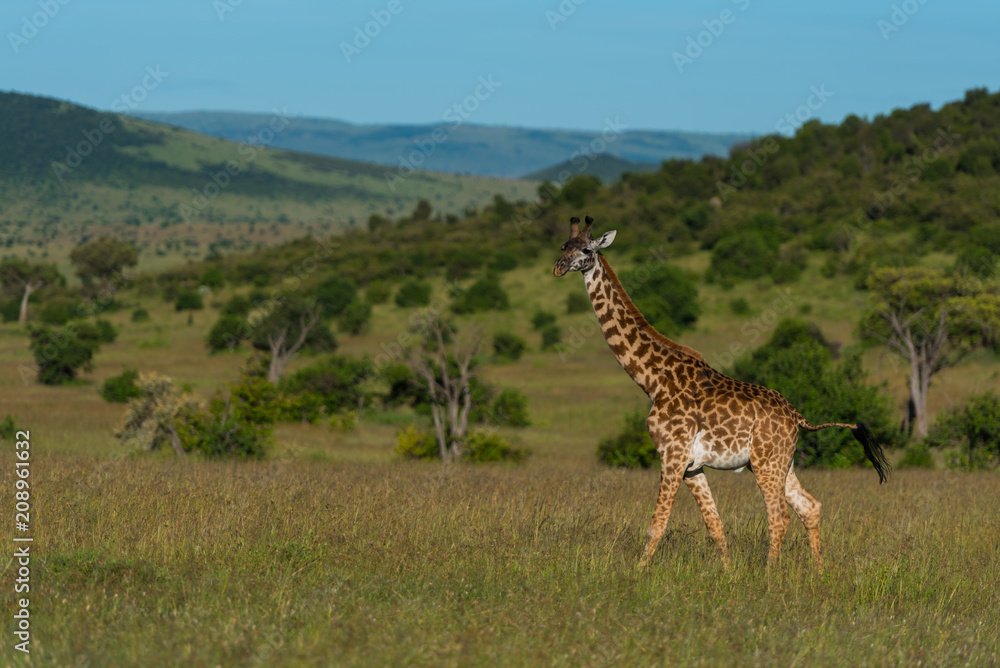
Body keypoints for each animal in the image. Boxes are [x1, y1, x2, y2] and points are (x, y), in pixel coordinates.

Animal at [553, 216, 890, 569]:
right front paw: (728, 573)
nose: (559, 267)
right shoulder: (692, 465)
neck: (652, 379)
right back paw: (819, 572)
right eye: (564, 246)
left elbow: (657, 523)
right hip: (780, 462)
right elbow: (714, 524)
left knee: (780, 517)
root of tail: (797, 417)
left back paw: (769, 574)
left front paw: (637, 573)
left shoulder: (672, 455)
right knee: (809, 507)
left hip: (767, 463)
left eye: (587, 250)